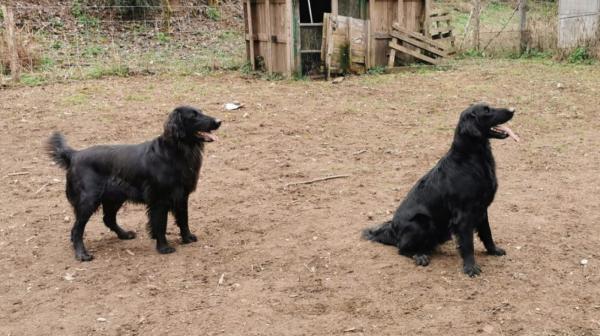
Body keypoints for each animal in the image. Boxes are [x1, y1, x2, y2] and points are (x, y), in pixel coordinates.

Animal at [46, 106, 220, 262]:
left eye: (201, 111)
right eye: (193, 115)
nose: (219, 121)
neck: (175, 152)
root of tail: (74, 155)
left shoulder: (182, 195)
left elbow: (184, 219)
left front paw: (187, 238)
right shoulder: (159, 199)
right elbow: (160, 224)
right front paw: (163, 247)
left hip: (113, 198)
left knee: (107, 219)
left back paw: (124, 234)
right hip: (89, 200)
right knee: (77, 229)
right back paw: (82, 254)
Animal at [364, 103, 516, 276]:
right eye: (486, 110)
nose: (513, 110)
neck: (470, 159)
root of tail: (392, 230)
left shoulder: (482, 209)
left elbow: (487, 233)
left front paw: (494, 250)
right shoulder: (463, 214)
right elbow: (468, 243)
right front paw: (470, 267)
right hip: (422, 222)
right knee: (402, 248)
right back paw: (420, 256)